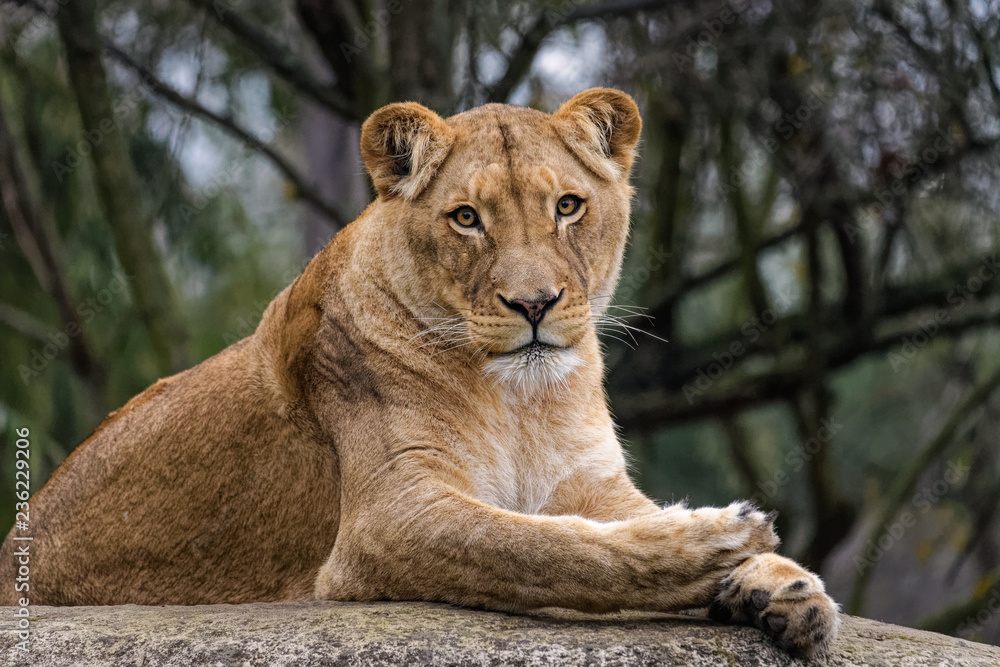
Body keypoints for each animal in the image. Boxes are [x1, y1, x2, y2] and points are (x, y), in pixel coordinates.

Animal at [0, 88, 839, 657]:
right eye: (466, 218)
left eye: (568, 206)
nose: (534, 303)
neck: (520, 399)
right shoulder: (389, 516)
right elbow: (545, 549)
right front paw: (720, 543)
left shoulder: (591, 483)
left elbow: (602, 527)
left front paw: (784, 584)